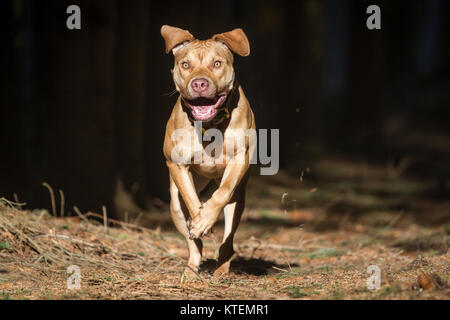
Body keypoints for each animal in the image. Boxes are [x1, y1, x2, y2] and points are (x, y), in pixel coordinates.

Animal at [160, 25, 255, 278]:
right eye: (185, 64)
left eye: (217, 63)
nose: (199, 84)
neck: (210, 125)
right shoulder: (177, 165)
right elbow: (192, 200)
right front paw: (201, 222)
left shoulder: (240, 158)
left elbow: (222, 193)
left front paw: (206, 219)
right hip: (175, 206)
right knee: (194, 242)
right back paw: (191, 271)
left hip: (238, 203)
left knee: (228, 240)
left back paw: (221, 270)